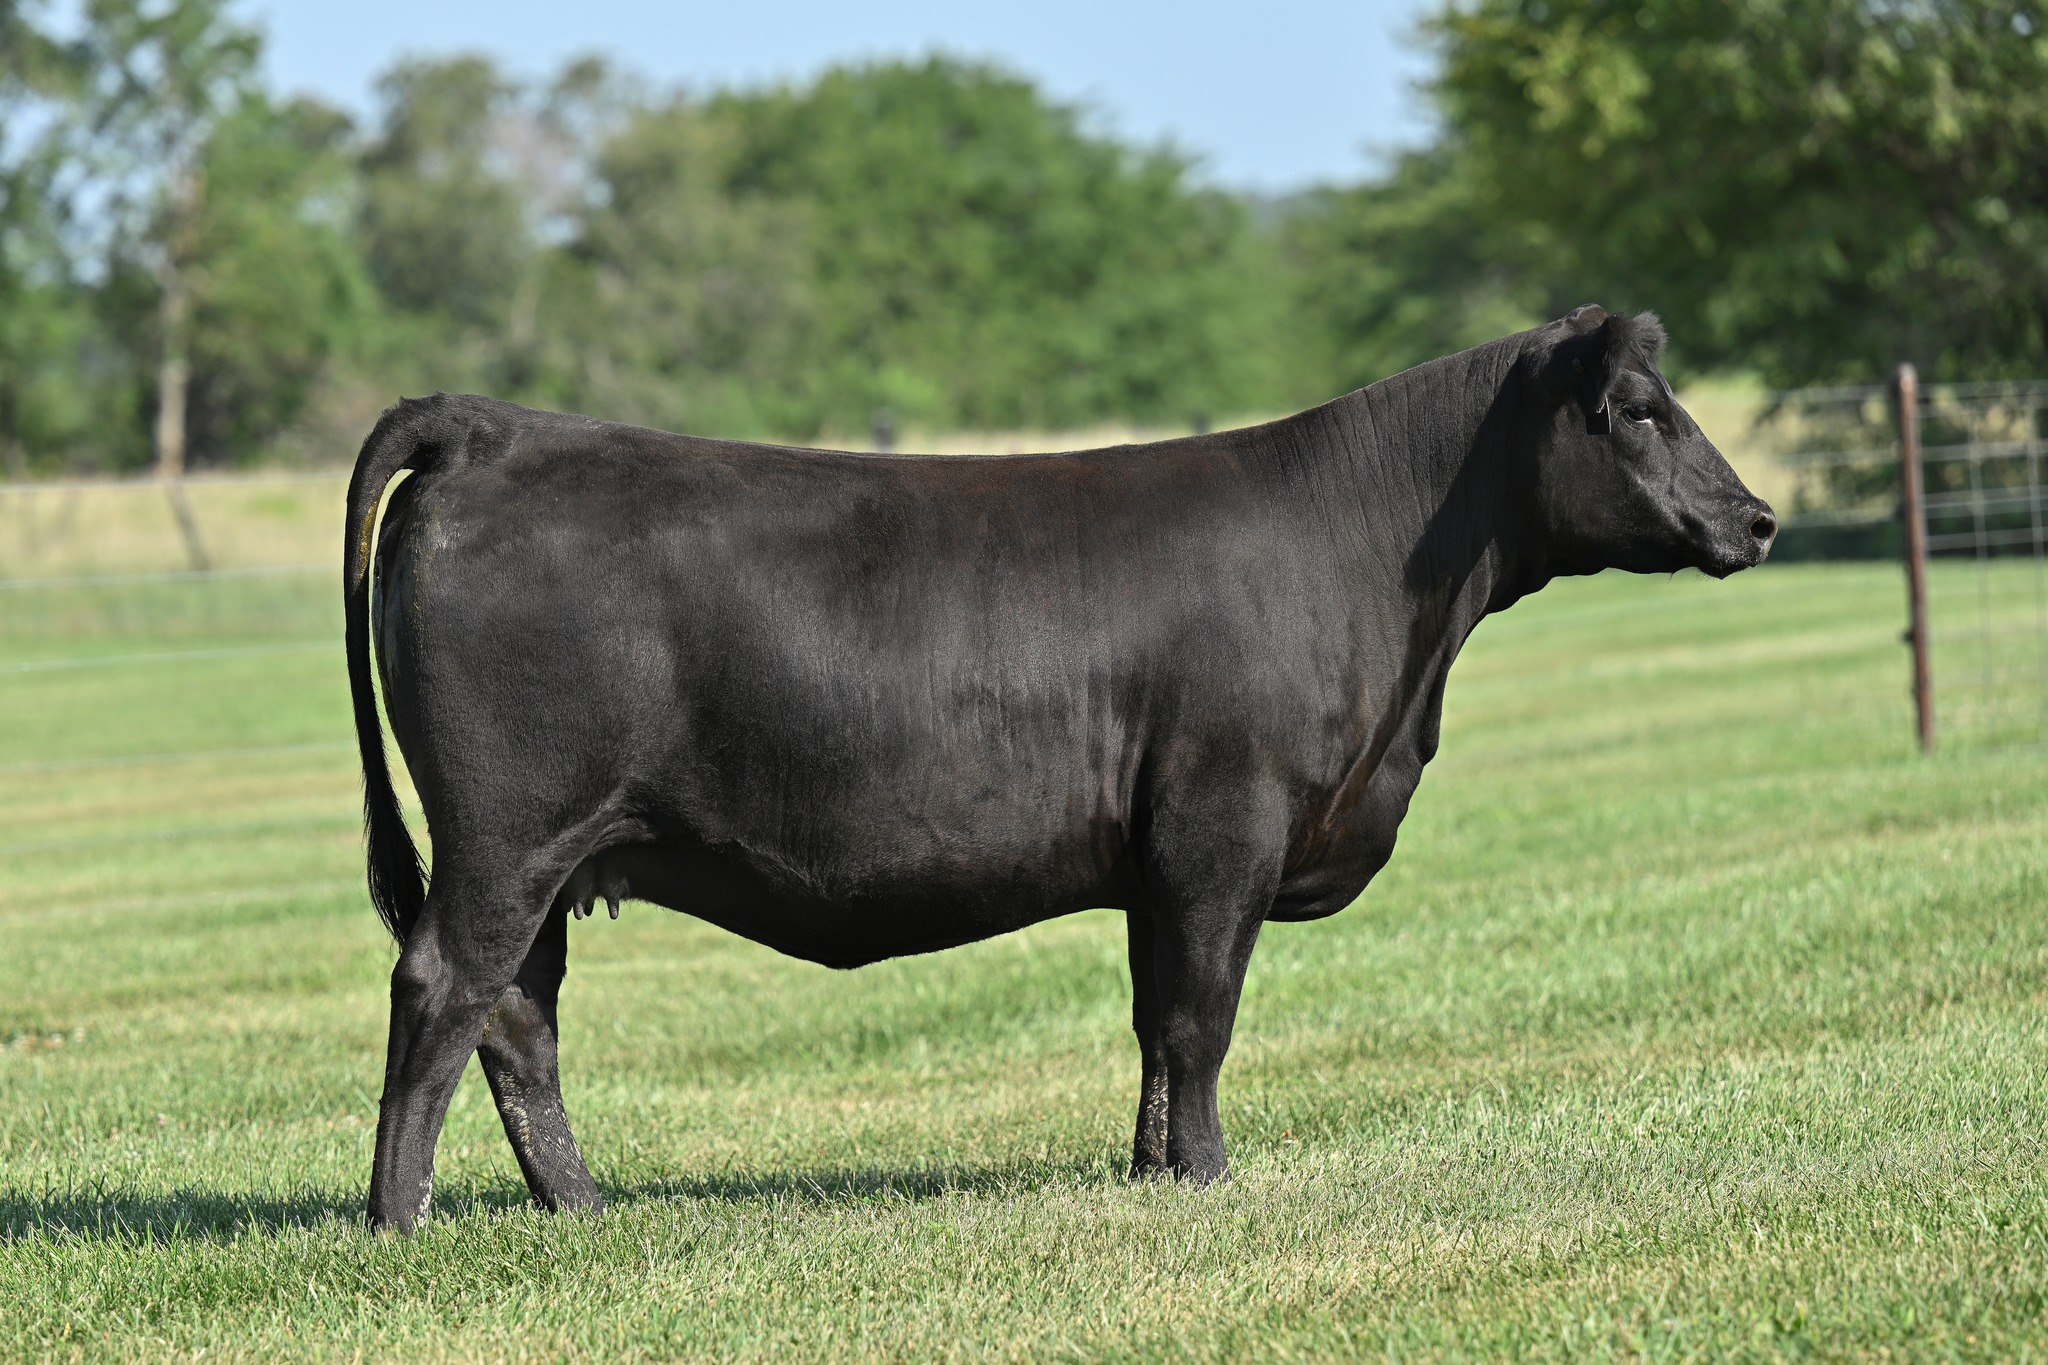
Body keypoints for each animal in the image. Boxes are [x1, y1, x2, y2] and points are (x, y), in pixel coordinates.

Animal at [344, 305, 1775, 1232]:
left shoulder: (1160, 860)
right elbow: (1200, 1018)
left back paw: (581, 1208)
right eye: (1635, 412)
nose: (1757, 518)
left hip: (551, 852)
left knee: (517, 1014)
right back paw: (398, 1222)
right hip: (507, 835)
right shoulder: (1222, 827)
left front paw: (1149, 1175)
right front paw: (1208, 1181)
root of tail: (495, 429)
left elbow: (1153, 1019)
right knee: (444, 986)